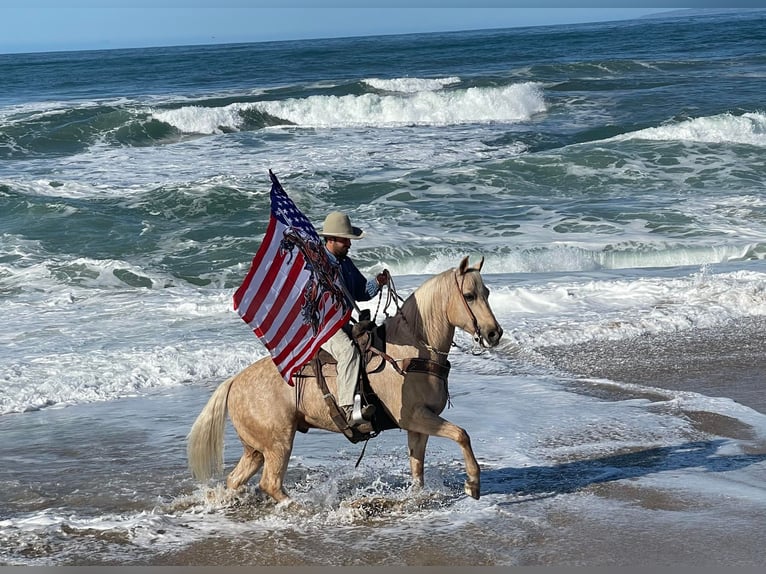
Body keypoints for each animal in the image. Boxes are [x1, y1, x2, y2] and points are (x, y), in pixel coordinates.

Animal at [188, 256, 504, 504]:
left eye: (487, 292)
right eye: (469, 295)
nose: (494, 333)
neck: (410, 351)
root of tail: (233, 383)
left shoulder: (418, 425)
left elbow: (418, 468)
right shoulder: (415, 417)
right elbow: (462, 434)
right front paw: (473, 484)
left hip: (255, 450)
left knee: (235, 480)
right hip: (278, 444)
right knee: (271, 483)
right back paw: (301, 508)